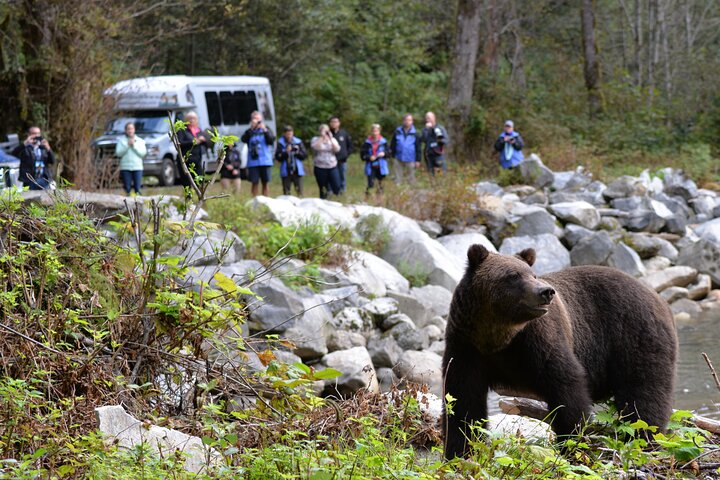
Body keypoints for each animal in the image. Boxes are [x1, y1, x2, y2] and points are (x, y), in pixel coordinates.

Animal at [442, 244, 677, 459]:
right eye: (513, 275)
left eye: (532, 274)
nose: (545, 292)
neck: (498, 337)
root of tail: (659, 299)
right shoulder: (466, 347)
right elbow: (462, 400)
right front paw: (459, 451)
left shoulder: (539, 341)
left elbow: (566, 386)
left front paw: (572, 445)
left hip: (634, 335)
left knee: (644, 395)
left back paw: (644, 441)